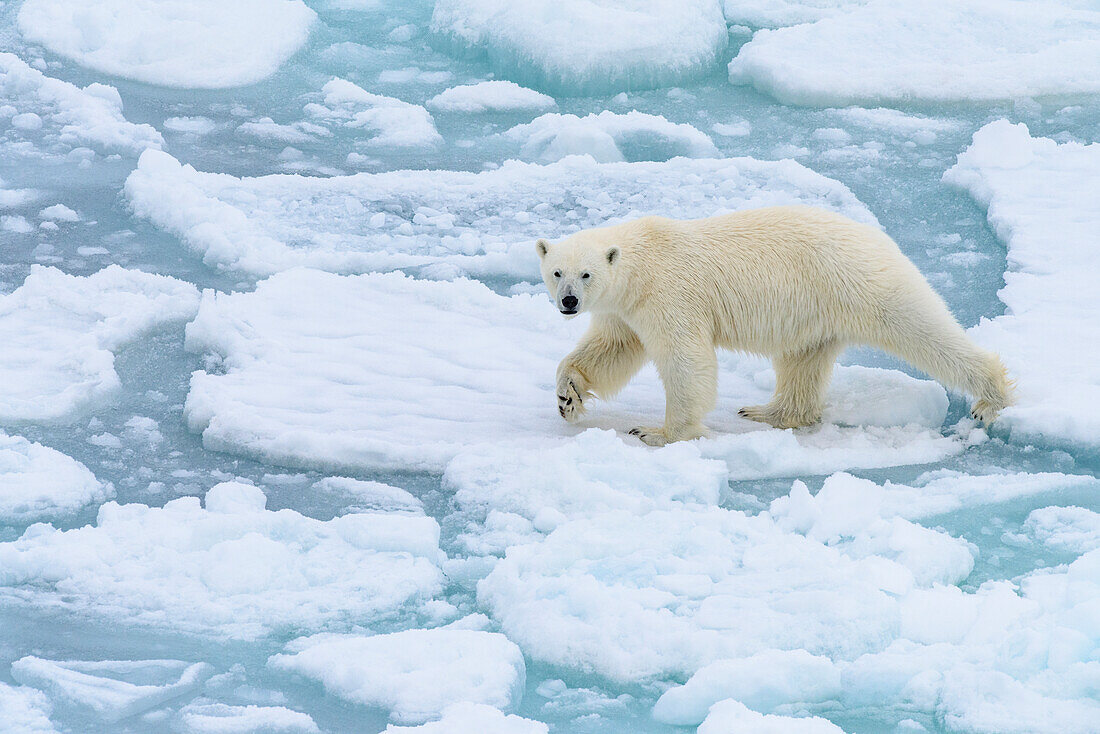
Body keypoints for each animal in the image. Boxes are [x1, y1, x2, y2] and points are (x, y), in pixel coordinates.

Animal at [536, 206, 1007, 448]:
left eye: (586, 274)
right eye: (557, 272)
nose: (569, 302)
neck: (642, 263)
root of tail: (880, 237)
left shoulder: (669, 294)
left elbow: (686, 360)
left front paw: (658, 432)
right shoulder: (627, 308)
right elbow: (610, 349)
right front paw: (567, 396)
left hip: (862, 284)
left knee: (923, 330)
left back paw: (990, 397)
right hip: (816, 309)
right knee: (803, 360)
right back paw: (767, 411)